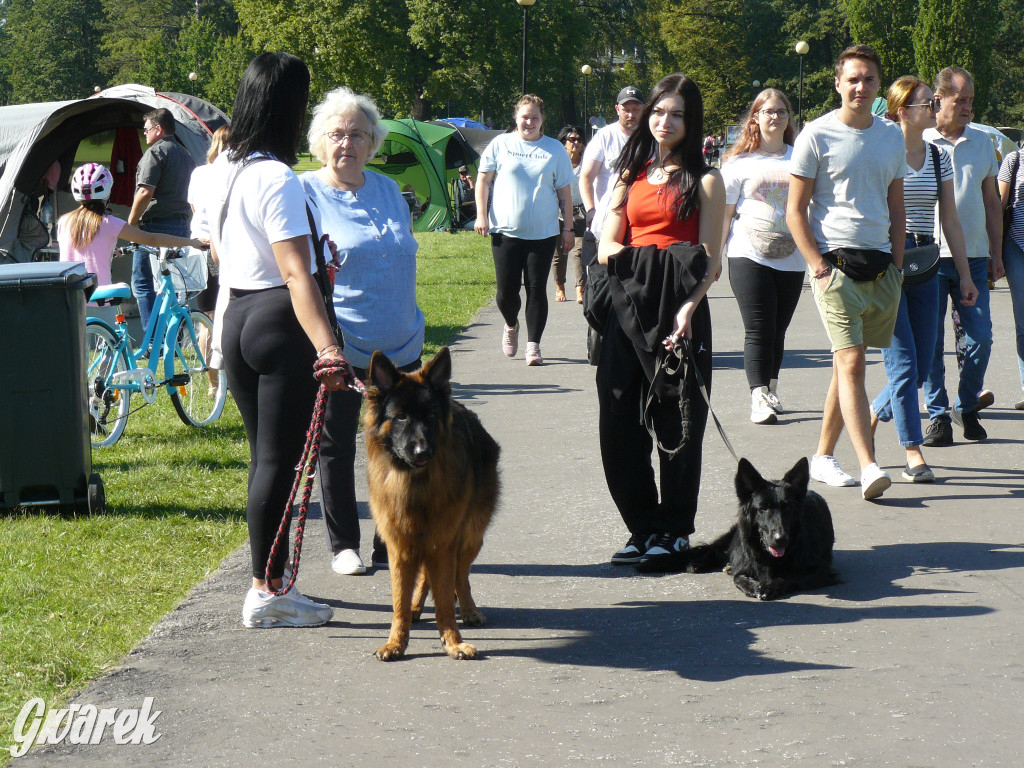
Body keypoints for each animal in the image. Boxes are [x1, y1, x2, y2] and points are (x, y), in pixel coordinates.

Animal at [364, 348, 499, 663]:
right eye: (400, 417)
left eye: (431, 416)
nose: (422, 451)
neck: (415, 484)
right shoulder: (400, 547)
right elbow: (399, 602)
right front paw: (396, 642)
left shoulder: (444, 542)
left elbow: (446, 599)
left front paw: (453, 641)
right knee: (426, 577)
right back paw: (416, 607)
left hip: (470, 535)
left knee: (461, 576)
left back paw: (469, 609)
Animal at [638, 456, 839, 602]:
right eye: (763, 508)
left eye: (787, 508)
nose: (780, 539)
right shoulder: (743, 564)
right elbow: (738, 577)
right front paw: (753, 586)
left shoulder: (822, 571)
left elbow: (789, 576)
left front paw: (769, 586)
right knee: (711, 551)